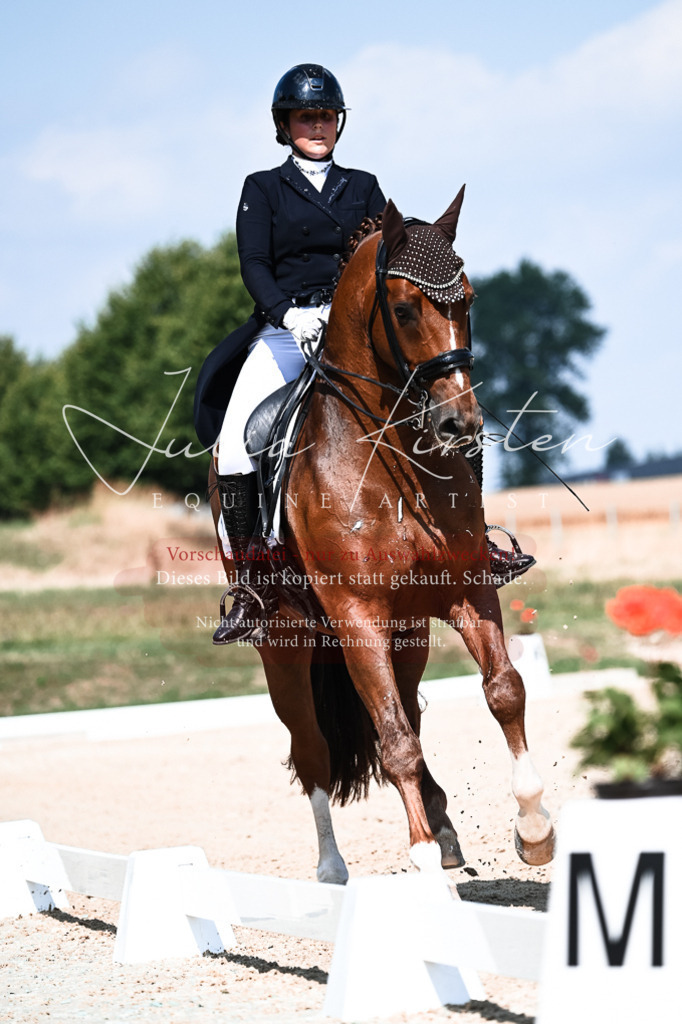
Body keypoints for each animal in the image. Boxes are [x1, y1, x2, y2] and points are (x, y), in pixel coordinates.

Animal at [208, 187, 555, 882]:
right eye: (402, 308)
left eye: (469, 298)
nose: (459, 424)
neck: (388, 453)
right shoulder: (357, 614)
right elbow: (391, 741)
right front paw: (420, 865)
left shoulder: (467, 590)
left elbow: (504, 691)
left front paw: (533, 829)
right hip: (285, 644)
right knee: (313, 747)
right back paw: (332, 870)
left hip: (409, 630)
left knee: (411, 713)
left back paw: (444, 828)